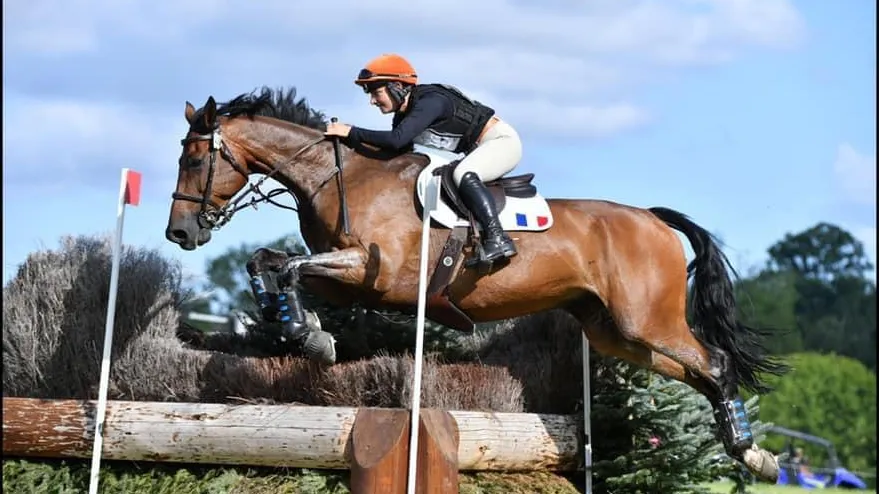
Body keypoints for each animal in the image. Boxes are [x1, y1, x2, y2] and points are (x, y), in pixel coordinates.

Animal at [165, 87, 787, 482]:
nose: (179, 232)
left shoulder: (373, 271)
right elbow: (267, 263)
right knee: (698, 373)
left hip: (648, 319)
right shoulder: (349, 282)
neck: (339, 176)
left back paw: (748, 452)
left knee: (714, 364)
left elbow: (290, 267)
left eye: (194, 160)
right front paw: (298, 328)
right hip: (614, 333)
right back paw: (751, 453)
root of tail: (654, 219)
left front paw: (307, 334)